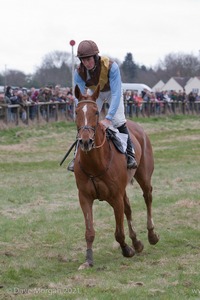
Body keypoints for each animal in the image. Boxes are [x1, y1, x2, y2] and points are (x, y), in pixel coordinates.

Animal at [72, 84, 159, 270]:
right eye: (76, 112)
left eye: (96, 112)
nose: (85, 141)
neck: (95, 163)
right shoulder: (85, 197)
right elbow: (89, 231)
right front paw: (88, 260)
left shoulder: (115, 196)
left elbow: (119, 232)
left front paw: (127, 250)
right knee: (129, 208)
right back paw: (137, 242)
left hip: (144, 175)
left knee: (147, 196)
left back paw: (151, 235)